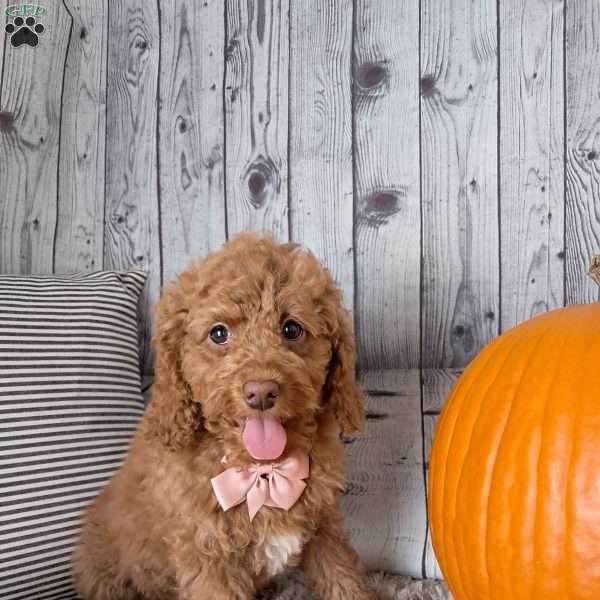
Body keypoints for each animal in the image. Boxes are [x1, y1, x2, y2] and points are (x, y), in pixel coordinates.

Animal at [71, 234, 376, 600]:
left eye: (291, 329)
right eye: (219, 334)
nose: (261, 391)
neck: (262, 472)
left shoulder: (324, 529)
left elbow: (342, 578)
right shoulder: (209, 560)